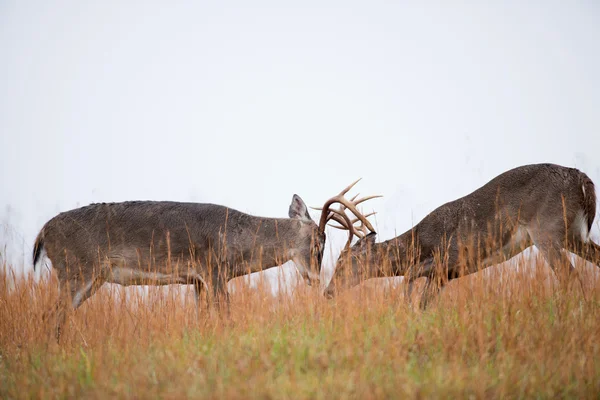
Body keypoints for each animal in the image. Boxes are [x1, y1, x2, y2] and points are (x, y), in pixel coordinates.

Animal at [32, 181, 378, 340]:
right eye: (319, 243)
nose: (315, 280)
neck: (238, 239)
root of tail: (43, 232)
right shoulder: (214, 271)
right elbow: (226, 317)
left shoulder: (197, 281)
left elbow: (203, 321)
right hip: (77, 270)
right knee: (50, 315)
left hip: (88, 277)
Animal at [322, 163, 600, 310]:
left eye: (342, 262)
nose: (327, 292)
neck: (419, 243)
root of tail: (583, 180)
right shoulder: (445, 275)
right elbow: (423, 302)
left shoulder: (450, 258)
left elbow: (410, 281)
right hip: (574, 236)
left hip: (545, 230)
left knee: (570, 276)